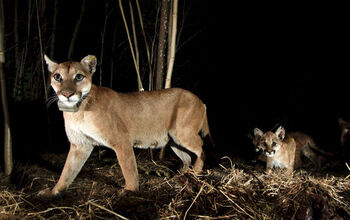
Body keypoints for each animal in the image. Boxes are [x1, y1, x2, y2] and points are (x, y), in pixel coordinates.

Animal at [37, 54, 211, 198]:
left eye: (79, 77)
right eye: (57, 77)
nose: (67, 94)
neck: (77, 111)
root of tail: (201, 101)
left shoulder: (121, 141)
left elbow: (128, 168)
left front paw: (130, 190)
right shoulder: (80, 144)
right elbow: (67, 171)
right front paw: (54, 192)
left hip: (182, 133)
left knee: (202, 148)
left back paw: (196, 173)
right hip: (173, 140)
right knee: (187, 157)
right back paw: (181, 176)